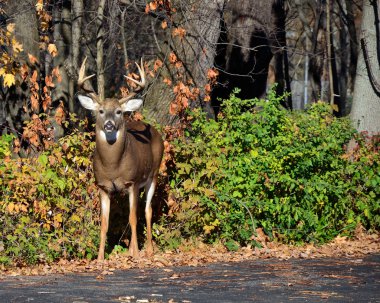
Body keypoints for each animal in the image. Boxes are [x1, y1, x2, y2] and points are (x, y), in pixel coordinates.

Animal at [78, 57, 164, 262]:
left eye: (118, 111)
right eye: (101, 111)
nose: (109, 124)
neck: (112, 166)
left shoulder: (132, 182)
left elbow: (133, 218)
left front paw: (138, 255)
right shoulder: (103, 186)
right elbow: (104, 223)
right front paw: (100, 257)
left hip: (154, 174)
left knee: (146, 210)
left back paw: (148, 250)